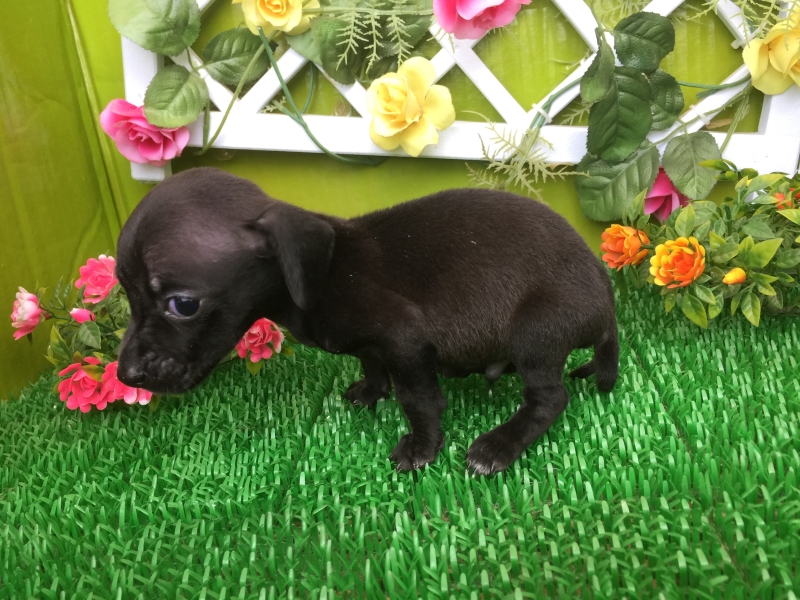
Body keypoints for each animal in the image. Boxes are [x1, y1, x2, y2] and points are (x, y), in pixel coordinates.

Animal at [116, 167, 618, 474]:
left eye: (183, 304)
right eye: (124, 291)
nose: (126, 375)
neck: (319, 276)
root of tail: (604, 294)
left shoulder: (405, 341)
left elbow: (418, 399)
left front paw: (422, 448)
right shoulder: (374, 346)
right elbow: (369, 362)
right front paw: (370, 391)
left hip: (536, 331)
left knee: (550, 398)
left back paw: (500, 444)